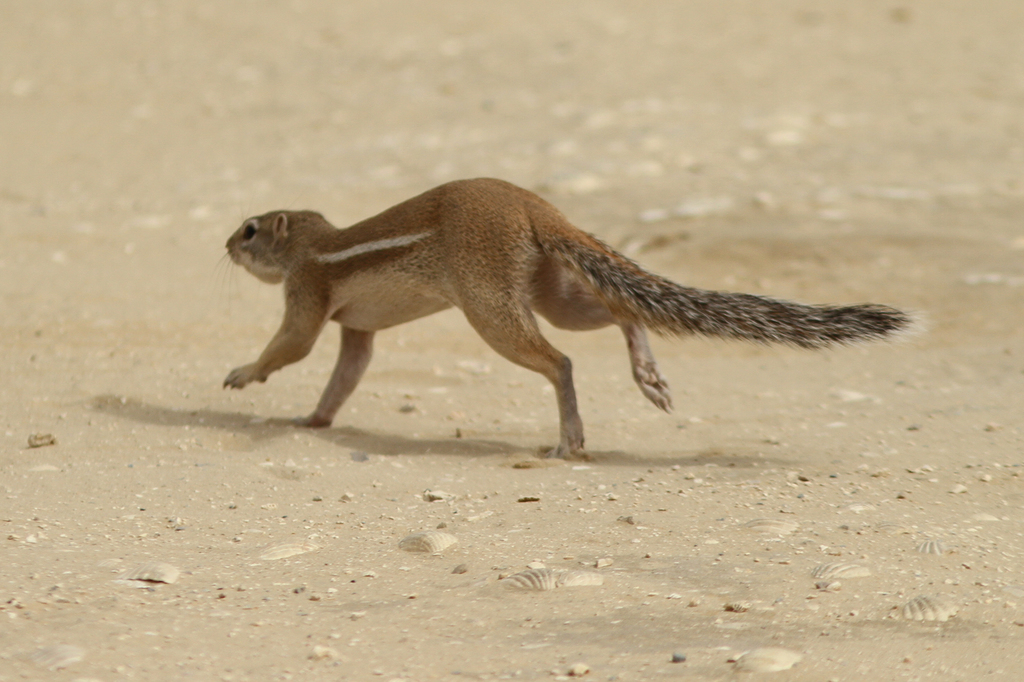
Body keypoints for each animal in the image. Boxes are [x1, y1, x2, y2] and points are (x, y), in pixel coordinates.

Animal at [224, 177, 914, 458]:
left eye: (250, 229)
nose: (225, 245)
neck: (314, 241)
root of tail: (539, 208)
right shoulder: (358, 327)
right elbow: (346, 373)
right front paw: (312, 419)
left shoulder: (307, 292)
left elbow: (293, 346)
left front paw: (241, 375)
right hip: (552, 291)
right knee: (621, 313)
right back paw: (648, 377)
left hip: (490, 306)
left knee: (561, 361)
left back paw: (570, 438)